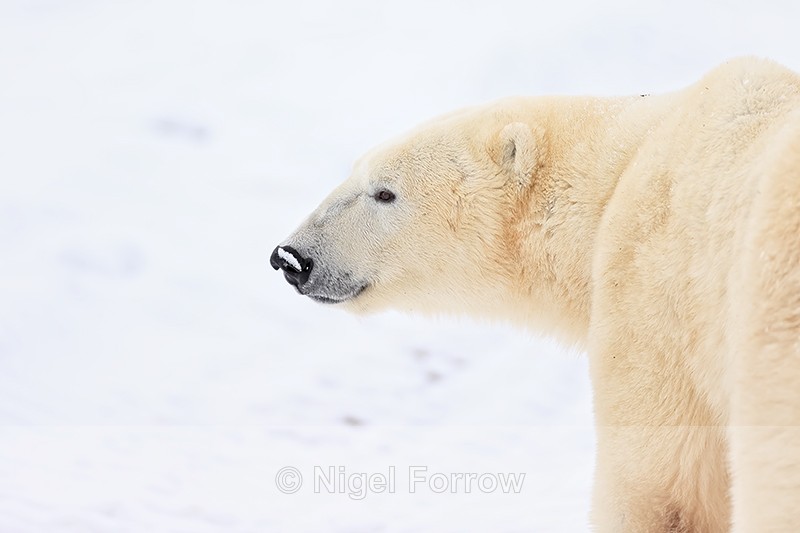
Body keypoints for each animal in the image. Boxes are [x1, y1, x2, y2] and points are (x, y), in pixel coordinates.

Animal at [271, 57, 800, 532]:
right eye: (355, 172)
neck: (617, 177)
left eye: (385, 192)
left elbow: (656, 488)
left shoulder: (653, 297)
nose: (292, 257)